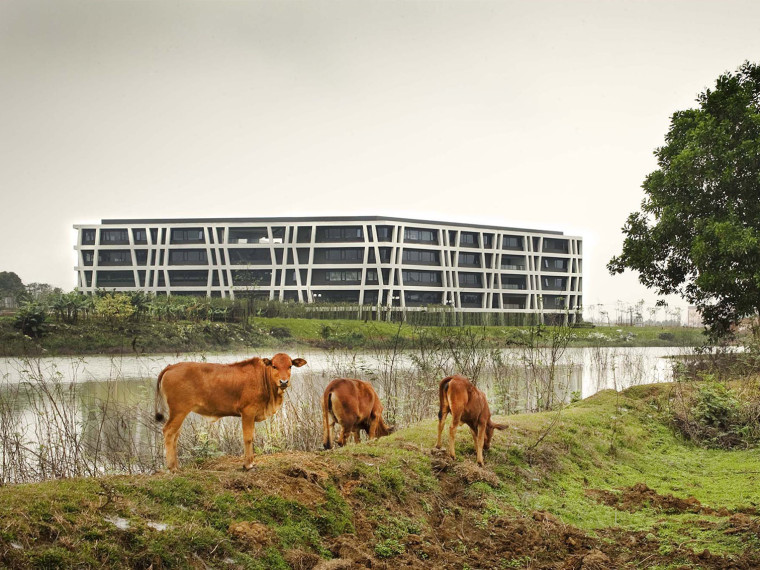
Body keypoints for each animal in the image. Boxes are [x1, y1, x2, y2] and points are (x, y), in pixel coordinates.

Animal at [154, 350, 306, 470]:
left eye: (290, 366)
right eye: (274, 366)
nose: (284, 382)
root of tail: (172, 366)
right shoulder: (248, 412)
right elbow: (248, 438)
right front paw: (248, 465)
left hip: (179, 412)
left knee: (175, 435)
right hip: (179, 411)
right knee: (169, 432)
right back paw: (172, 468)